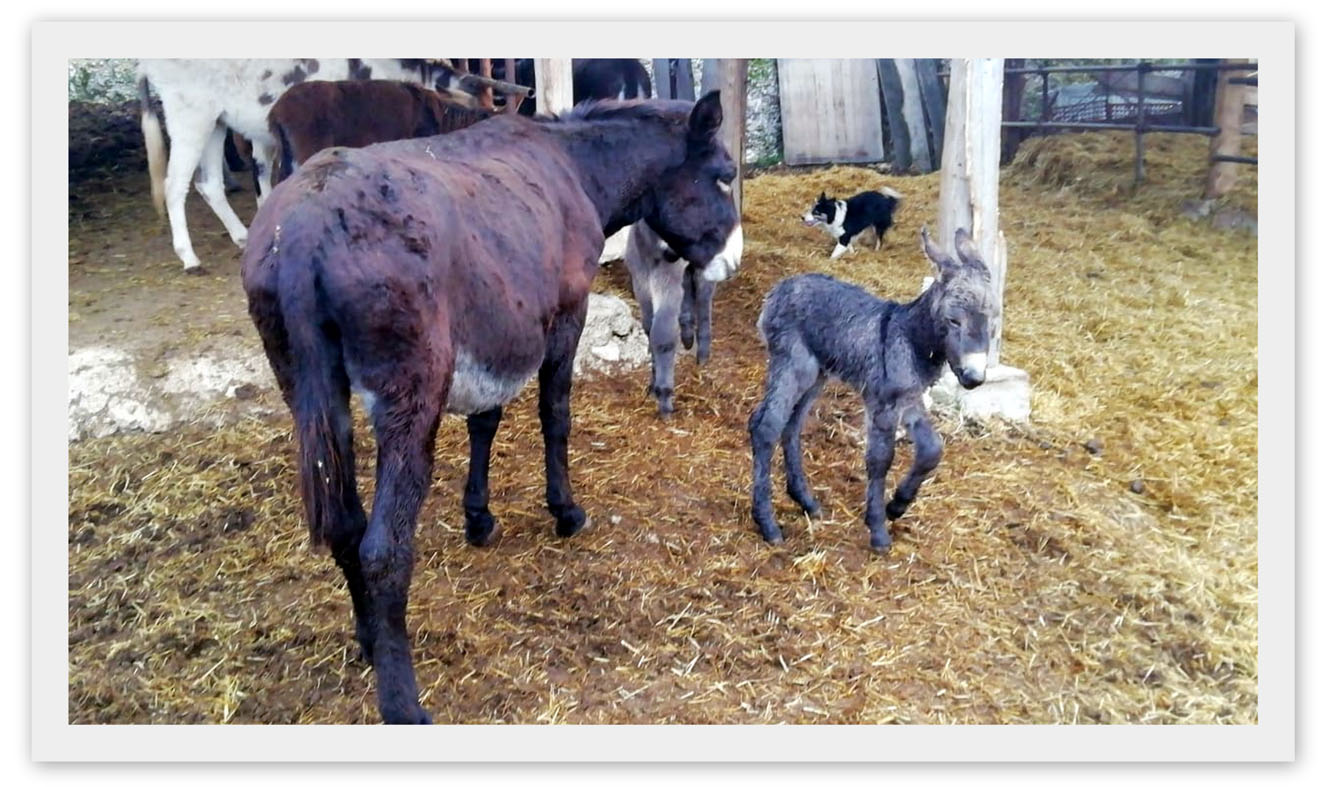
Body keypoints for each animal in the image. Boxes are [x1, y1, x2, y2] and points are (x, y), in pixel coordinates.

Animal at [754, 224, 993, 549]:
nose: (973, 377)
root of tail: (778, 290)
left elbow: (932, 449)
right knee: (766, 426)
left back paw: (806, 501)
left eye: (992, 318)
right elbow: (880, 459)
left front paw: (897, 505)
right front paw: (878, 529)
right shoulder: (883, 404)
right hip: (792, 365)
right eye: (953, 320)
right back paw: (767, 524)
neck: (910, 337)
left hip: (817, 374)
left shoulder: (909, 399)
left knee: (791, 427)